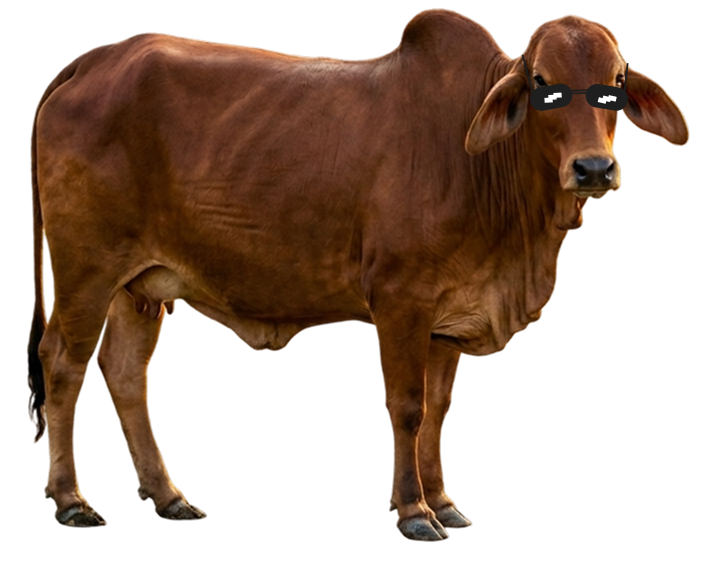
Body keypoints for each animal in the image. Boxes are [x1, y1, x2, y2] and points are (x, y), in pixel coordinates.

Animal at [28, 9, 688, 541]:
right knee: (63, 362)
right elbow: (408, 407)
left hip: (142, 284)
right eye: (541, 83)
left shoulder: (448, 318)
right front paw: (414, 512)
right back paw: (70, 500)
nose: (594, 168)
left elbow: (439, 409)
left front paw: (444, 501)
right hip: (86, 267)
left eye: (618, 83)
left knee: (125, 372)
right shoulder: (399, 299)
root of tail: (96, 60)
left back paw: (167, 496)